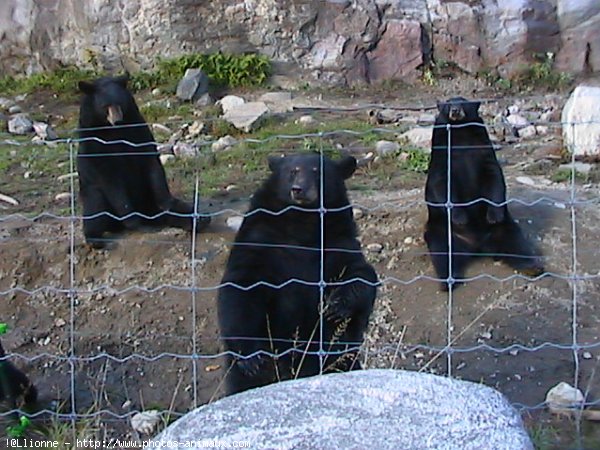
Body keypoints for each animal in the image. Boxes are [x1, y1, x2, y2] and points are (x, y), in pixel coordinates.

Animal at [76, 75, 210, 248]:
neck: (113, 131)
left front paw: (166, 202)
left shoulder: (137, 130)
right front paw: (134, 222)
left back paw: (200, 219)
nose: (117, 120)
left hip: (149, 199)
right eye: (105, 106)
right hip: (91, 192)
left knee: (180, 209)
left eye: (120, 103)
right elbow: (109, 179)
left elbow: (151, 163)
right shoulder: (94, 142)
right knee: (95, 208)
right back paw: (96, 239)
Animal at [218, 153, 378, 396]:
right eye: (293, 171)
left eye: (316, 171)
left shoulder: (337, 242)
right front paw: (252, 357)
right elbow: (241, 288)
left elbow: (360, 273)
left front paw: (336, 305)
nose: (298, 189)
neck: (303, 223)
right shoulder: (259, 240)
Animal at [424, 96, 548, 290]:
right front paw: (460, 217)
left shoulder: (483, 146)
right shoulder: (441, 151)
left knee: (517, 243)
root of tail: (478, 246)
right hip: (441, 229)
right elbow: (440, 181)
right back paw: (448, 281)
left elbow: (493, 175)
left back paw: (533, 266)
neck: (461, 133)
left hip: (504, 227)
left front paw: (494, 214)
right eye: (448, 104)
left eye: (463, 103)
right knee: (442, 252)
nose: (455, 110)